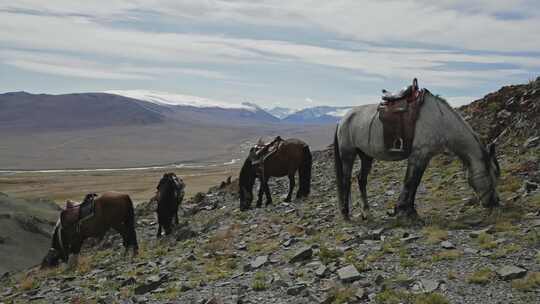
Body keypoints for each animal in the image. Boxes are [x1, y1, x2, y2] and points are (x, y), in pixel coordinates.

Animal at [336, 82, 500, 221]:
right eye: (492, 173)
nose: (495, 202)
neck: (440, 120)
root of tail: (343, 119)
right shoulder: (418, 155)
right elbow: (410, 182)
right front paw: (404, 210)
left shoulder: (424, 156)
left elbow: (415, 182)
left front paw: (407, 210)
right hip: (348, 154)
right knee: (346, 180)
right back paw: (345, 213)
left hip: (366, 156)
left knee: (361, 180)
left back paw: (367, 212)